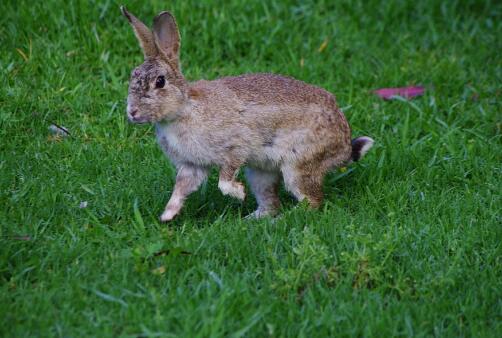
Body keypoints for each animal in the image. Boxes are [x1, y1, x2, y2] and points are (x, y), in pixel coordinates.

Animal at [120, 7, 372, 222]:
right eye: (133, 75)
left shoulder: (235, 146)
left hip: (298, 166)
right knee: (271, 204)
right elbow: (181, 188)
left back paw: (281, 220)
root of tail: (343, 145)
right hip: (261, 174)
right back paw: (251, 221)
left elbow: (224, 179)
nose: (132, 112)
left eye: (160, 82)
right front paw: (167, 215)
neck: (183, 108)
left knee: (312, 202)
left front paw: (238, 194)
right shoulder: (192, 166)